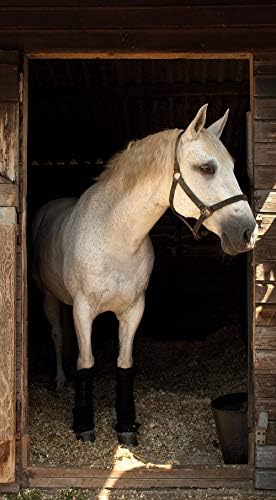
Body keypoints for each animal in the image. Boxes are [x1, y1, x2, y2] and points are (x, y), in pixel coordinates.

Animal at [33, 104, 258, 446]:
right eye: (207, 168)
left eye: (233, 167)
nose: (247, 232)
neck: (115, 237)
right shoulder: (84, 308)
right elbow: (87, 363)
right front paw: (83, 425)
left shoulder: (133, 309)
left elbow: (125, 364)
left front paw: (126, 426)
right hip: (49, 297)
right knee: (58, 336)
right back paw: (60, 380)